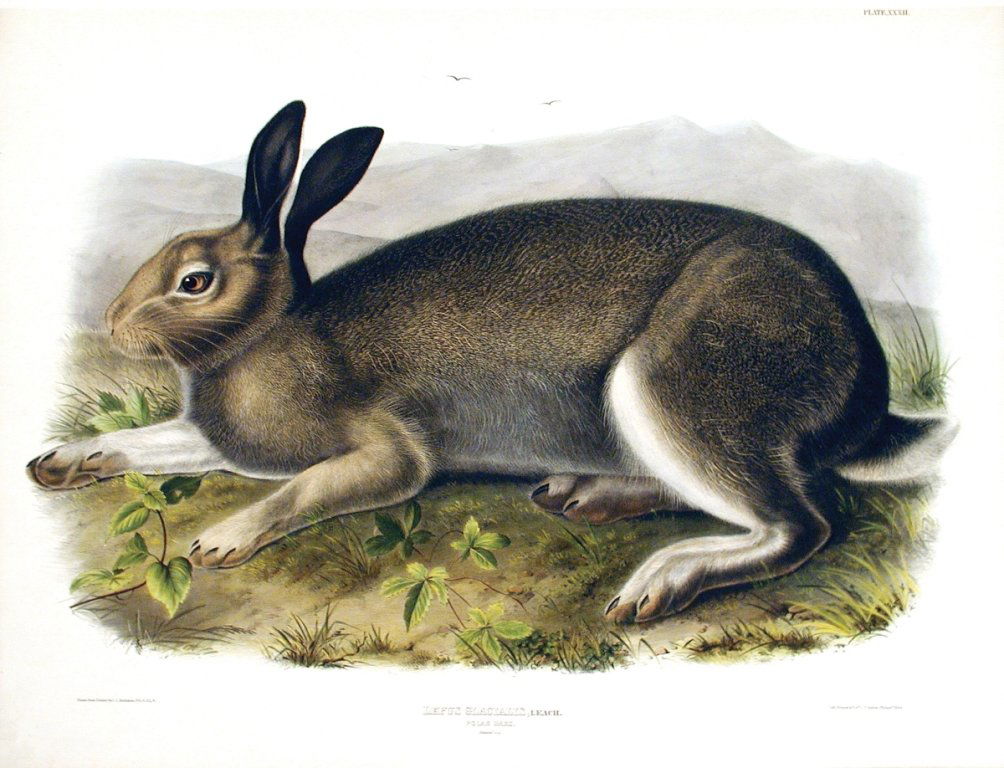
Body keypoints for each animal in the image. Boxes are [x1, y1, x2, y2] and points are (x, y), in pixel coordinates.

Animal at [27, 101, 958, 623]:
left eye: (194, 280)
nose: (112, 324)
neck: (270, 333)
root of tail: (866, 396)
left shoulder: (385, 452)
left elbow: (312, 488)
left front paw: (223, 539)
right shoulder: (210, 438)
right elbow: (153, 441)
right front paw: (60, 463)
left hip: (671, 386)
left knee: (799, 523)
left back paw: (658, 581)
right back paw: (586, 494)